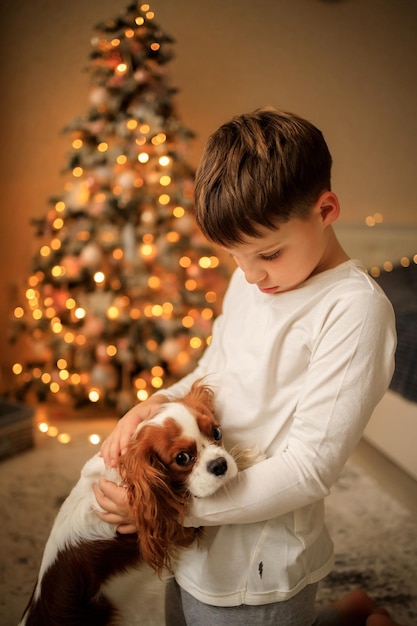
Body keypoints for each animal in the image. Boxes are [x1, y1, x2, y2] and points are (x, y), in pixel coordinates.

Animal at [20, 378, 260, 620]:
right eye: (182, 458)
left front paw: (242, 458)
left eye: (217, 433)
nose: (220, 465)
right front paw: (249, 459)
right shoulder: (175, 530)